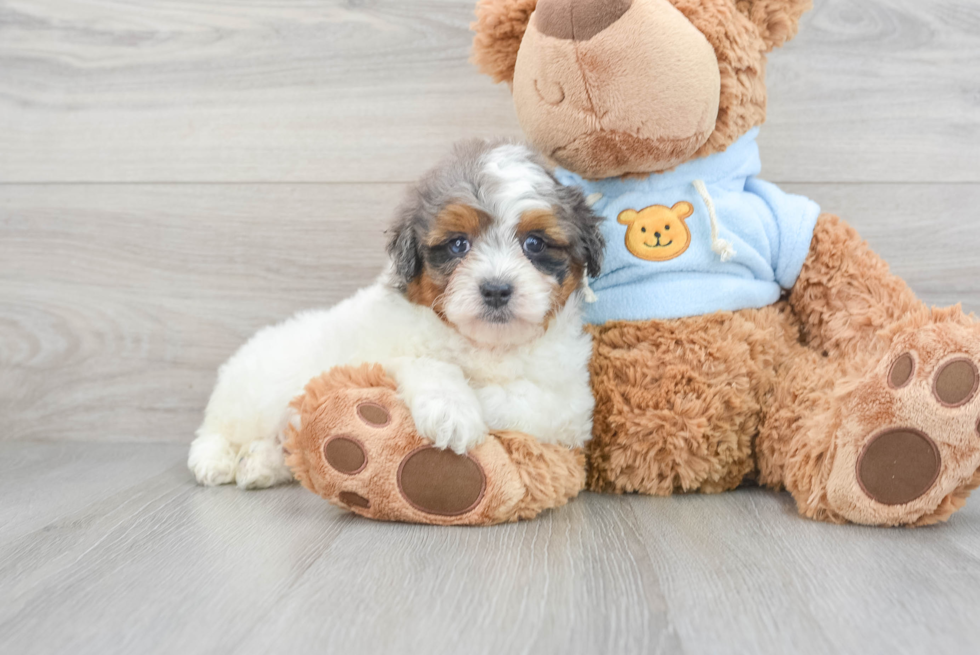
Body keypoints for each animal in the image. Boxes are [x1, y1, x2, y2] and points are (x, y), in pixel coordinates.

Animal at [189, 141, 604, 524]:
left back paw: (260, 464)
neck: (486, 344)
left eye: (534, 243)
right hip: (251, 395)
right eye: (459, 244)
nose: (497, 289)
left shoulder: (571, 405)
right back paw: (215, 461)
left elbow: (524, 399)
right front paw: (452, 410)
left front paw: (477, 399)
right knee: (218, 429)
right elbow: (425, 362)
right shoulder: (376, 353)